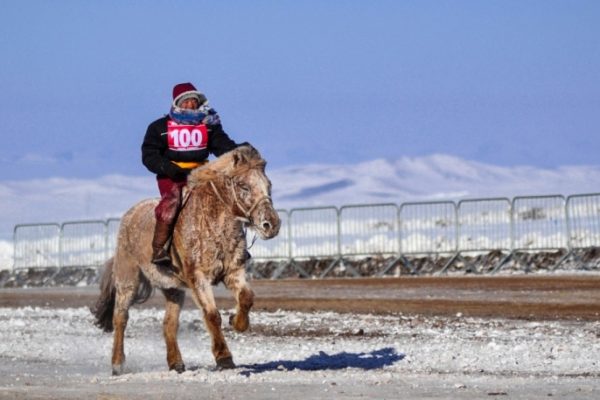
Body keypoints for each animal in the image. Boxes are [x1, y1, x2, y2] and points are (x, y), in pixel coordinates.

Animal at [91, 145, 282, 376]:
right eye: (244, 186)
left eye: (268, 185)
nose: (271, 225)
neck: (212, 220)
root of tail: (130, 215)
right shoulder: (198, 277)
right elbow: (211, 314)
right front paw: (224, 358)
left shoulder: (233, 272)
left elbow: (246, 298)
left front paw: (236, 322)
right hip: (128, 279)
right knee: (121, 318)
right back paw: (118, 364)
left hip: (172, 289)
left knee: (169, 323)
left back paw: (176, 363)